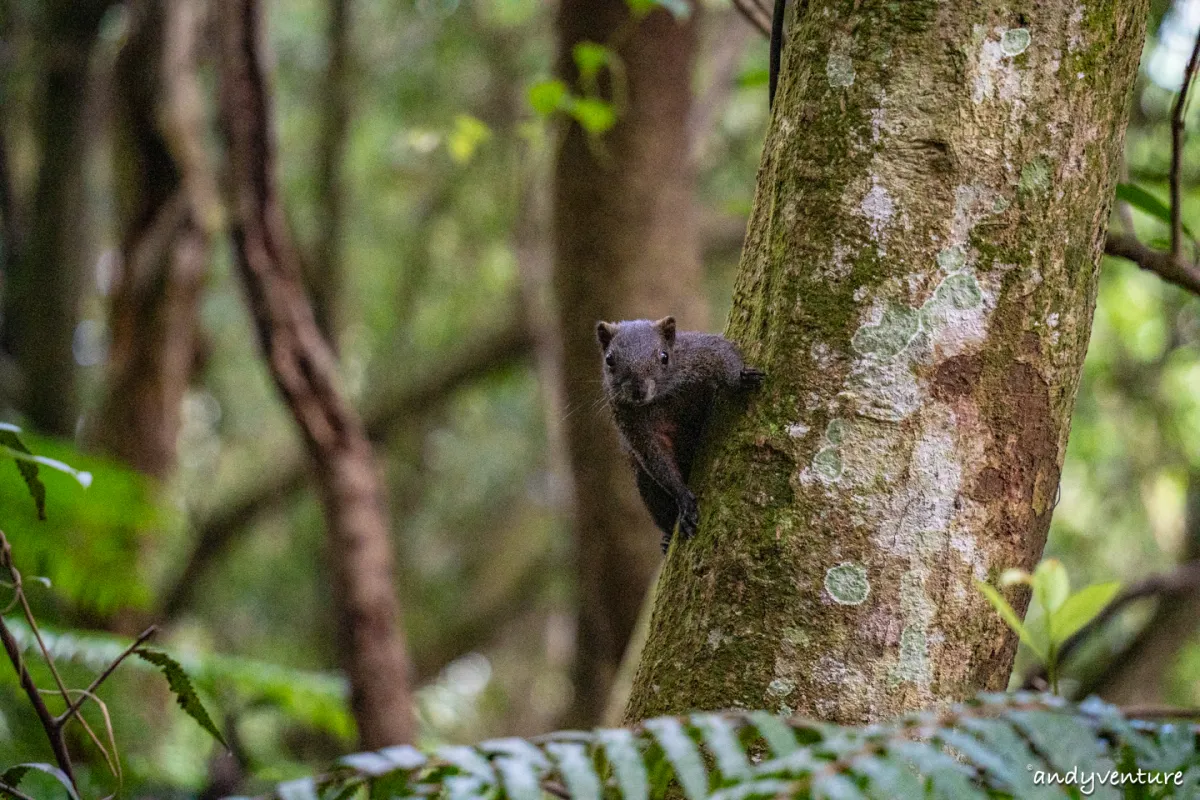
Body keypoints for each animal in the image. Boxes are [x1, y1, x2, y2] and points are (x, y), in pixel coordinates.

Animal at [595, 316, 763, 554]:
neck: (660, 399)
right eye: (609, 360)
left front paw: (742, 378)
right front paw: (683, 498)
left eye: (664, 356)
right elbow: (656, 458)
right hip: (647, 488)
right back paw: (667, 540)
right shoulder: (629, 418)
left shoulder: (695, 354)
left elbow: (722, 351)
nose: (638, 391)